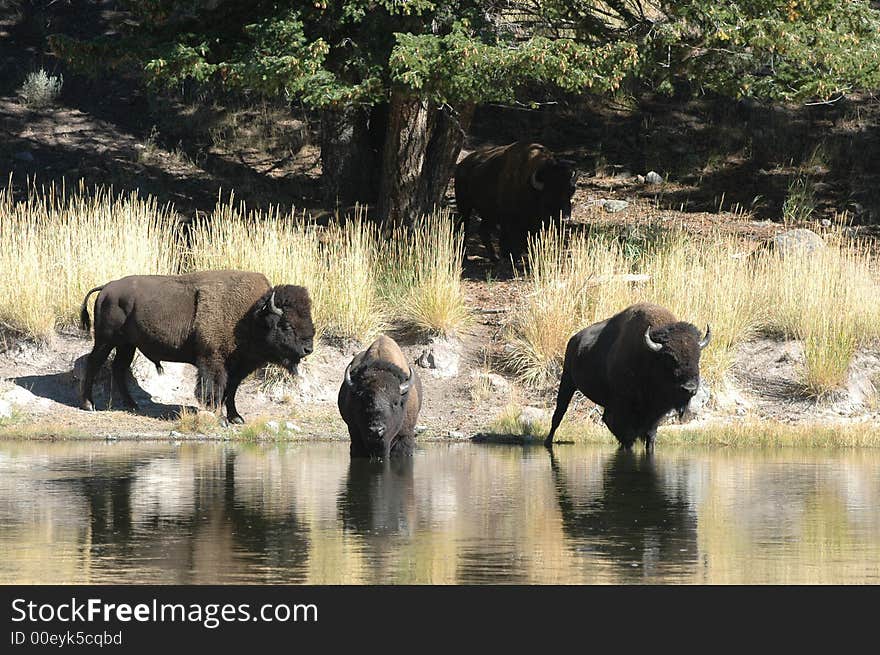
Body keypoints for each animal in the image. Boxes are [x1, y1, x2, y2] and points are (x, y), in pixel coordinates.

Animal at [77, 272, 314, 426]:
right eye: (286, 325)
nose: (308, 349)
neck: (249, 315)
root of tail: (106, 288)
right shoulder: (212, 361)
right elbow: (215, 389)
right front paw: (220, 418)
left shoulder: (238, 367)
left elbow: (231, 390)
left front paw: (236, 418)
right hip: (105, 340)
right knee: (94, 363)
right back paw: (89, 405)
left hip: (127, 345)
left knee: (119, 368)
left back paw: (132, 405)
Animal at [548, 302, 712, 452]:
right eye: (670, 358)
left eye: (697, 357)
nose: (689, 388)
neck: (650, 357)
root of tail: (574, 340)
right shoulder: (624, 408)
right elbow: (627, 434)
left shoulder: (654, 413)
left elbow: (650, 435)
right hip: (567, 380)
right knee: (559, 413)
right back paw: (548, 442)